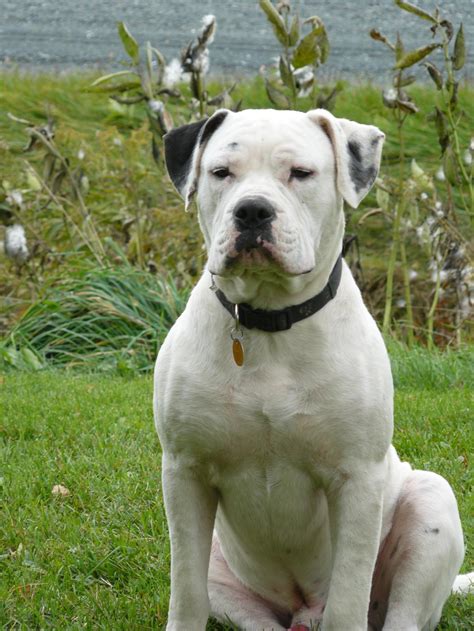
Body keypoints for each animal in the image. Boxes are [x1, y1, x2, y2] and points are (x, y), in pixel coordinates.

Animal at [155, 110, 466, 631]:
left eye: (300, 173)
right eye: (221, 172)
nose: (252, 211)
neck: (270, 322)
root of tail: (303, 609)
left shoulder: (357, 479)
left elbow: (348, 597)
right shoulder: (186, 473)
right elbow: (186, 593)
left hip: (430, 503)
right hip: (227, 573)